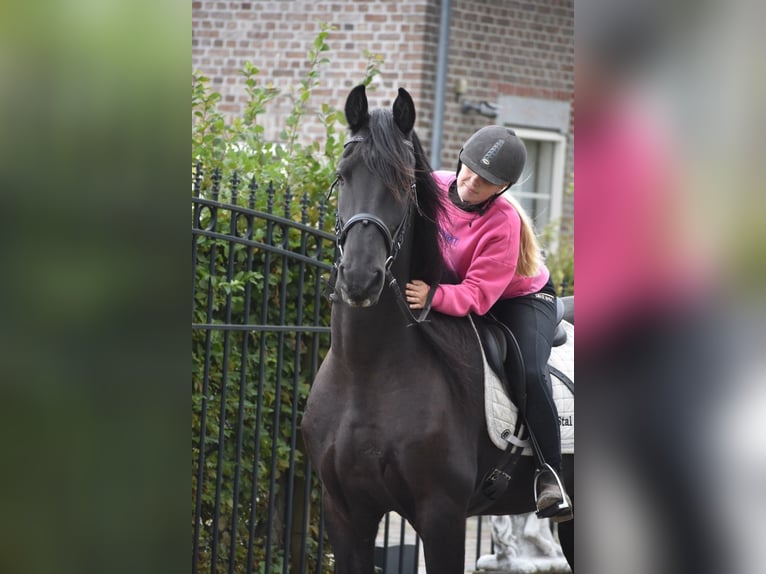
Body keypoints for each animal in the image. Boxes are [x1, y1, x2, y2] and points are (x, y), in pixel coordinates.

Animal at [304, 86, 572, 574]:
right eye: (342, 175)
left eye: (403, 183)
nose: (360, 279)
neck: (366, 372)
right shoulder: (345, 513)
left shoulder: (441, 516)